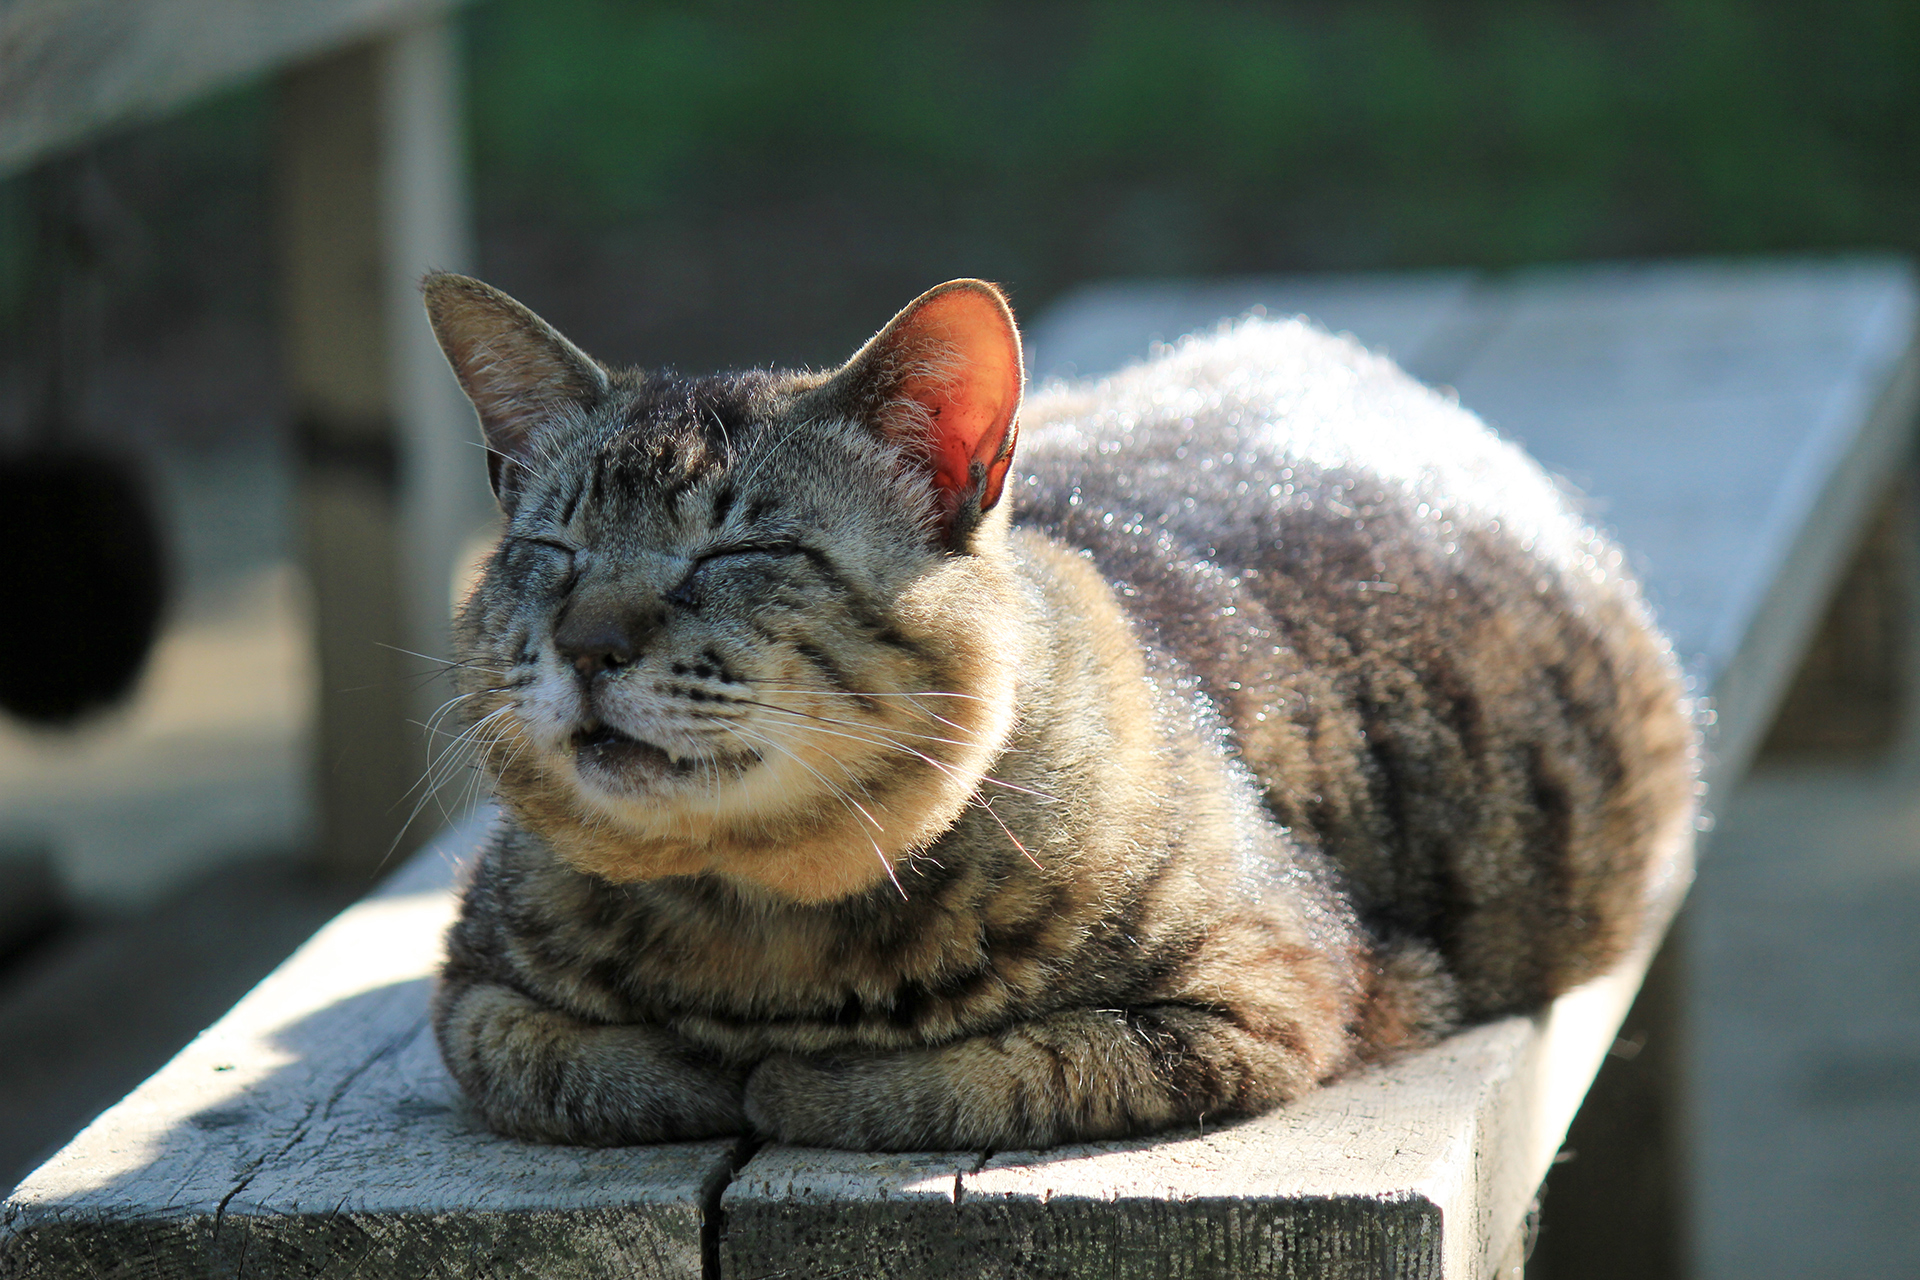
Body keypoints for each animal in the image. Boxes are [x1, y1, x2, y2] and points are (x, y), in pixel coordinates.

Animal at [424, 270, 1697, 1151]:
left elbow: (984, 1070)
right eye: (550, 550)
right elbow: (563, 1063)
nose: (589, 642)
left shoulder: (1271, 996)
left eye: (740, 550)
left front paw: (788, 1076)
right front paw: (697, 1064)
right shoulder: (468, 991)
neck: (753, 923)